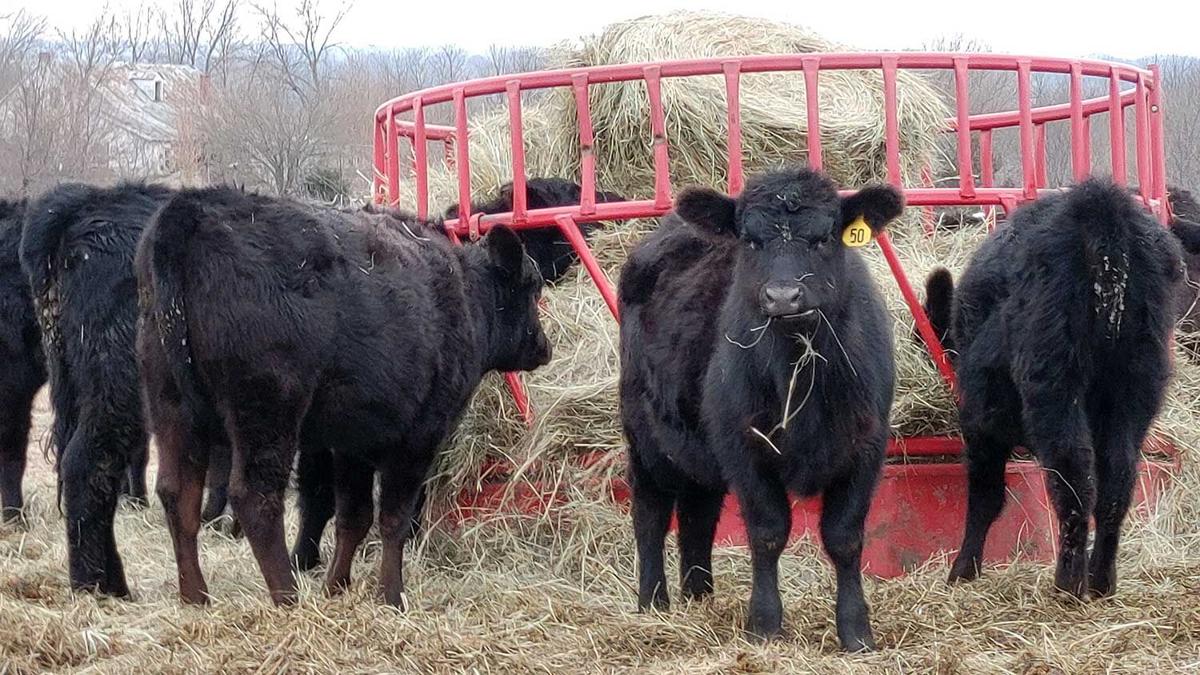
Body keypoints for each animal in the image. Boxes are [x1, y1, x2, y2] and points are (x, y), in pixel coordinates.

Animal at [137, 186, 552, 606]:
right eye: (532, 287)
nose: (543, 347)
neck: (465, 297)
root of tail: (193, 206)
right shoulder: (417, 438)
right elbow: (394, 519)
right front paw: (391, 595)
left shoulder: (355, 442)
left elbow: (354, 517)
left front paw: (336, 585)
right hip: (267, 411)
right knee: (255, 496)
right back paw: (287, 596)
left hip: (172, 408)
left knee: (177, 494)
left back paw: (195, 594)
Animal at [618, 167, 904, 651]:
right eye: (751, 241)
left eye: (824, 236)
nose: (784, 296)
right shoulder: (743, 445)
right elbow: (768, 533)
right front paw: (766, 624)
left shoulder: (866, 444)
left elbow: (845, 537)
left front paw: (856, 631)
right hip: (646, 436)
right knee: (651, 514)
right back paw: (653, 603)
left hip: (698, 451)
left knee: (698, 516)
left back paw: (700, 598)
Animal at [922, 178, 1182, 599]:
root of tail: (1101, 208)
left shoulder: (979, 417)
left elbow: (985, 494)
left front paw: (963, 569)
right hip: (1135, 387)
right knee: (1117, 478)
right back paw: (1101, 580)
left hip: (1054, 384)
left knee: (1073, 472)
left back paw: (1068, 583)